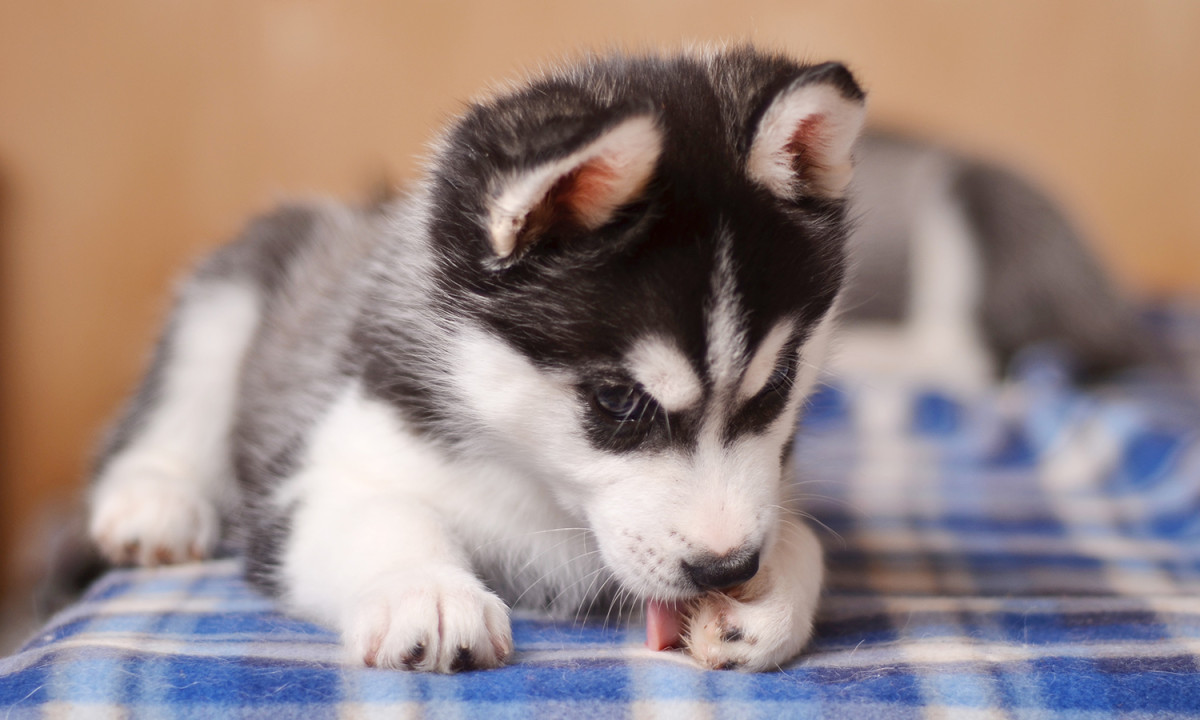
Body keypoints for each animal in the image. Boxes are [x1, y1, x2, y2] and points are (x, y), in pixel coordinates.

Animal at [88, 47, 868, 672]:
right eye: (618, 401)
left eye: (780, 383)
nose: (728, 566)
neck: (531, 483)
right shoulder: (321, 467)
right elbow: (382, 515)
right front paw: (426, 591)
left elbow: (804, 536)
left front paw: (770, 599)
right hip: (234, 290)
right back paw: (155, 500)